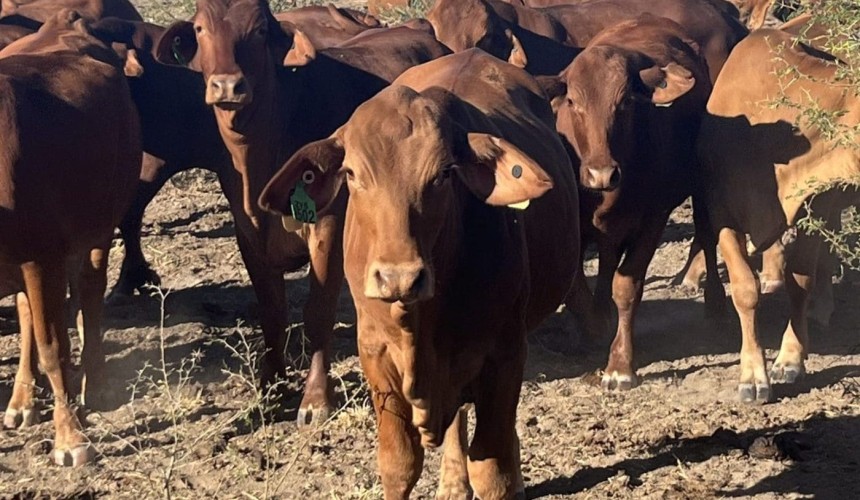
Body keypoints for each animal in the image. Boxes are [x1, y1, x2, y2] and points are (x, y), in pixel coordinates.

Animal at [0, 9, 141, 465]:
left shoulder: (42, 256)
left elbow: (53, 349)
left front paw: (71, 438)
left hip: (98, 224)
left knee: (90, 292)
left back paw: (96, 382)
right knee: (28, 312)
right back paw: (22, 400)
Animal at [152, 0, 449, 426]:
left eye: (259, 30)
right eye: (200, 28)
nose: (227, 86)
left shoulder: (327, 227)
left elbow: (316, 313)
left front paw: (315, 398)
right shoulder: (248, 233)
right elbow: (272, 312)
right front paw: (270, 388)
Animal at [260, 47, 580, 500]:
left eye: (444, 173)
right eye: (353, 174)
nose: (399, 278)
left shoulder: (505, 354)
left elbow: (493, 467)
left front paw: (505, 476)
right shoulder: (374, 354)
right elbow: (399, 464)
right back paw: (452, 482)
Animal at [539, 15, 723, 390]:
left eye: (624, 102)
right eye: (573, 103)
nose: (601, 174)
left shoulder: (653, 218)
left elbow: (626, 285)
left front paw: (620, 364)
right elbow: (576, 285)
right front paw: (594, 324)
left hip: (699, 184)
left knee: (707, 234)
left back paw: (715, 305)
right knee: (608, 257)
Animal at [697, 28, 859, 403]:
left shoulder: (816, 204)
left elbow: (800, 283)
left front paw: (790, 361)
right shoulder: (724, 214)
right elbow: (745, 289)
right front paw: (752, 375)